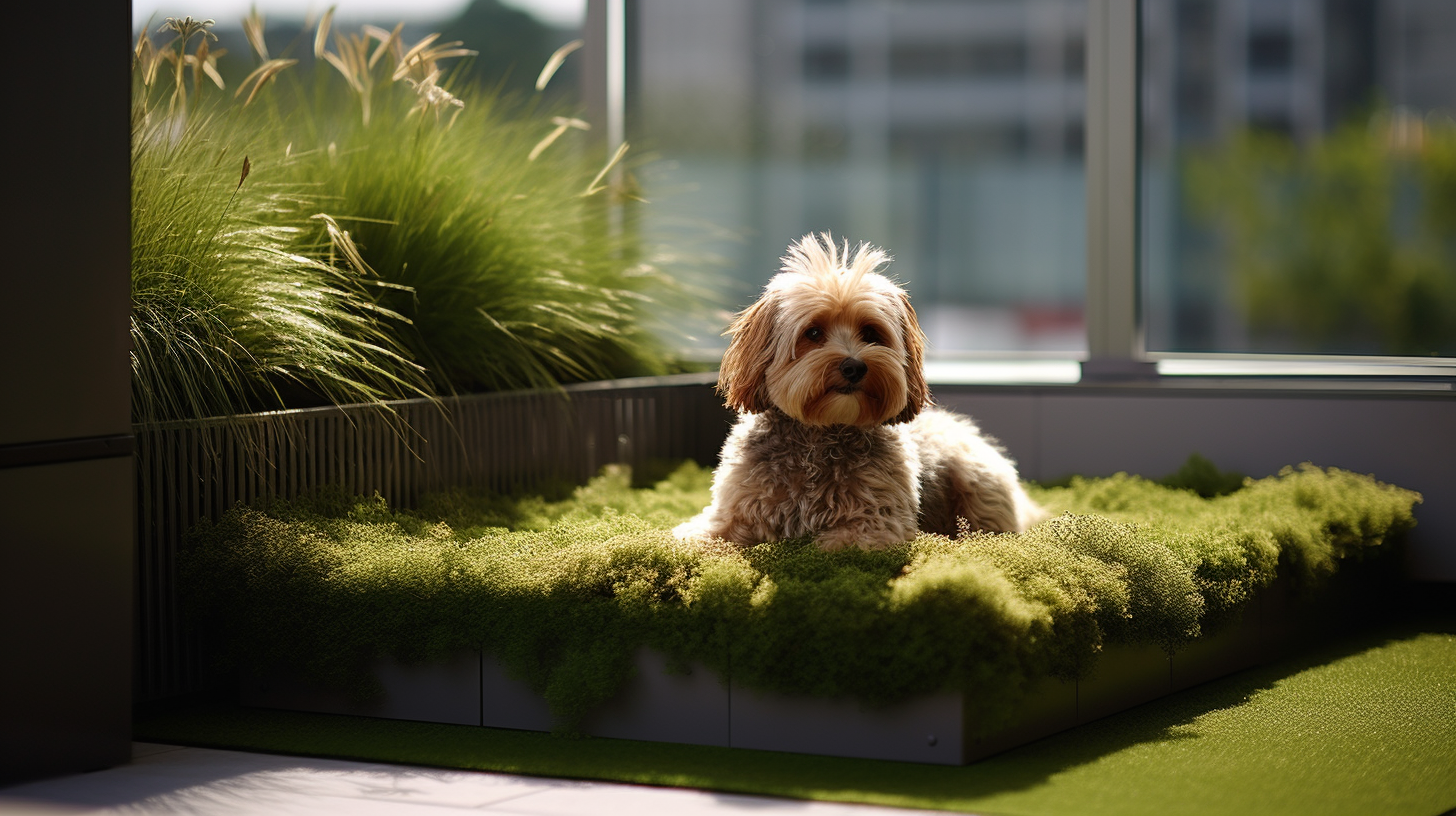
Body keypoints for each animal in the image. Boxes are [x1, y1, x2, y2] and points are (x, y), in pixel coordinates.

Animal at [675, 233, 1042, 550]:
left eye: (870, 333)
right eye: (813, 332)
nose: (854, 367)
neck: (820, 436)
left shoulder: (872, 526)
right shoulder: (731, 514)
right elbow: (697, 538)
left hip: (978, 483)